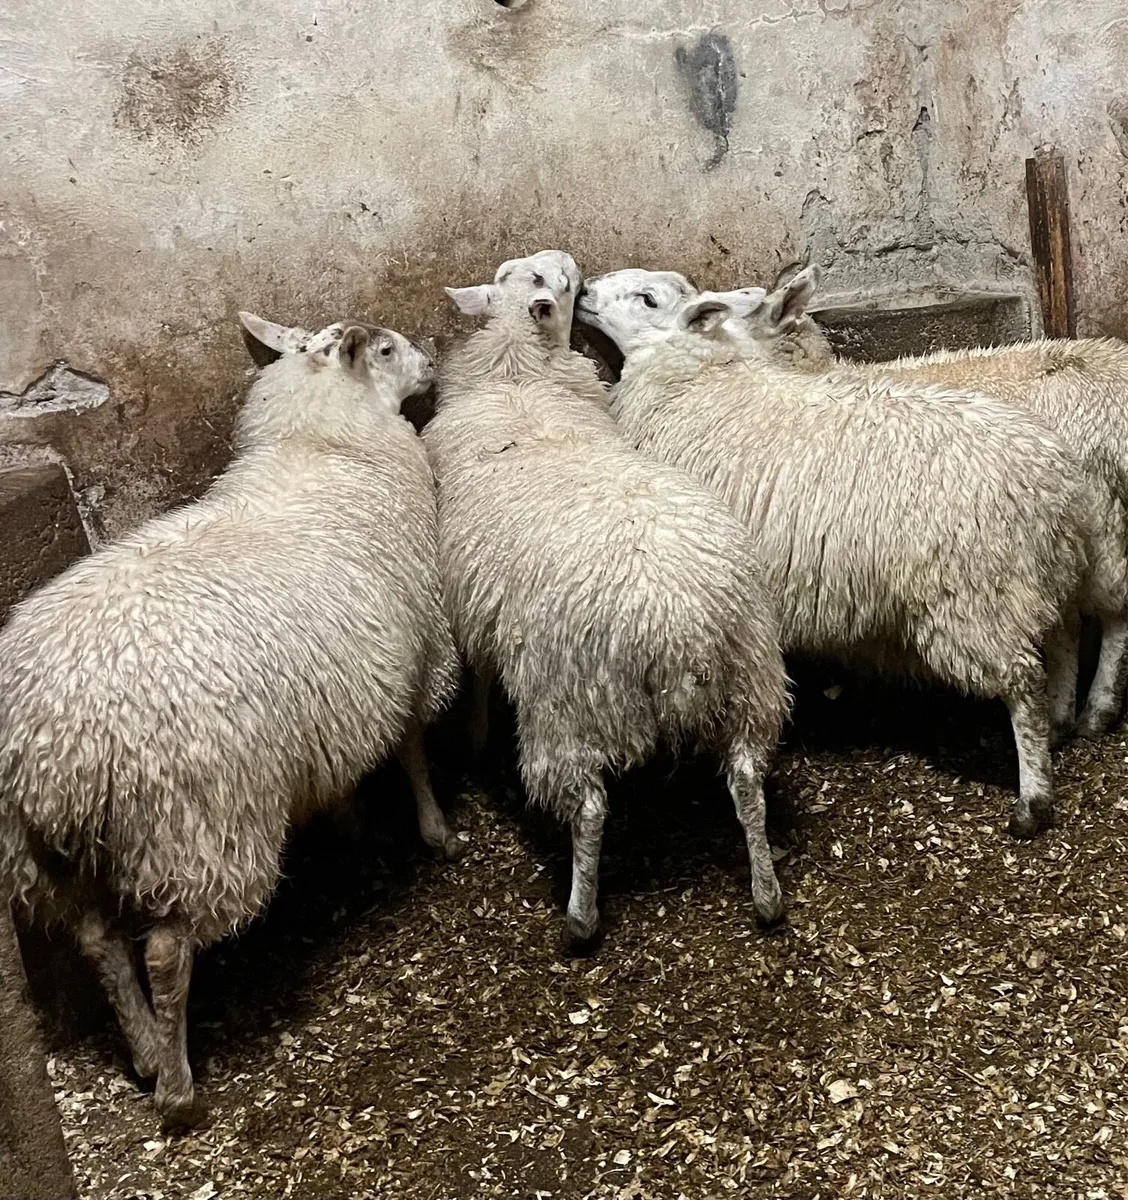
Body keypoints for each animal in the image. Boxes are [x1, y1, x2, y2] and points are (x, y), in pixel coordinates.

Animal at [0, 314, 463, 1129]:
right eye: (383, 348)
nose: (432, 358)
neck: (322, 443)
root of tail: (56, 752)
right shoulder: (418, 650)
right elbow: (411, 751)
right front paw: (433, 832)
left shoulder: (348, 687)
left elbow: (343, 780)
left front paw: (358, 837)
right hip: (199, 824)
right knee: (163, 952)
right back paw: (179, 1089)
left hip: (51, 856)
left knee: (99, 942)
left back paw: (145, 1054)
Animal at [422, 250, 790, 955]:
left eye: (560, 281)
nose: (578, 269)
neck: (518, 376)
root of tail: (679, 626)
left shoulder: (468, 594)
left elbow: (478, 670)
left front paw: (476, 735)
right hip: (751, 679)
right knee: (748, 785)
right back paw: (766, 896)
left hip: (568, 702)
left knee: (590, 809)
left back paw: (580, 916)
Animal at [720, 267, 1128, 730]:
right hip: (1059, 547)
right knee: (1068, 621)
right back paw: (1062, 712)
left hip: (1093, 523)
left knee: (1112, 612)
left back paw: (1097, 709)